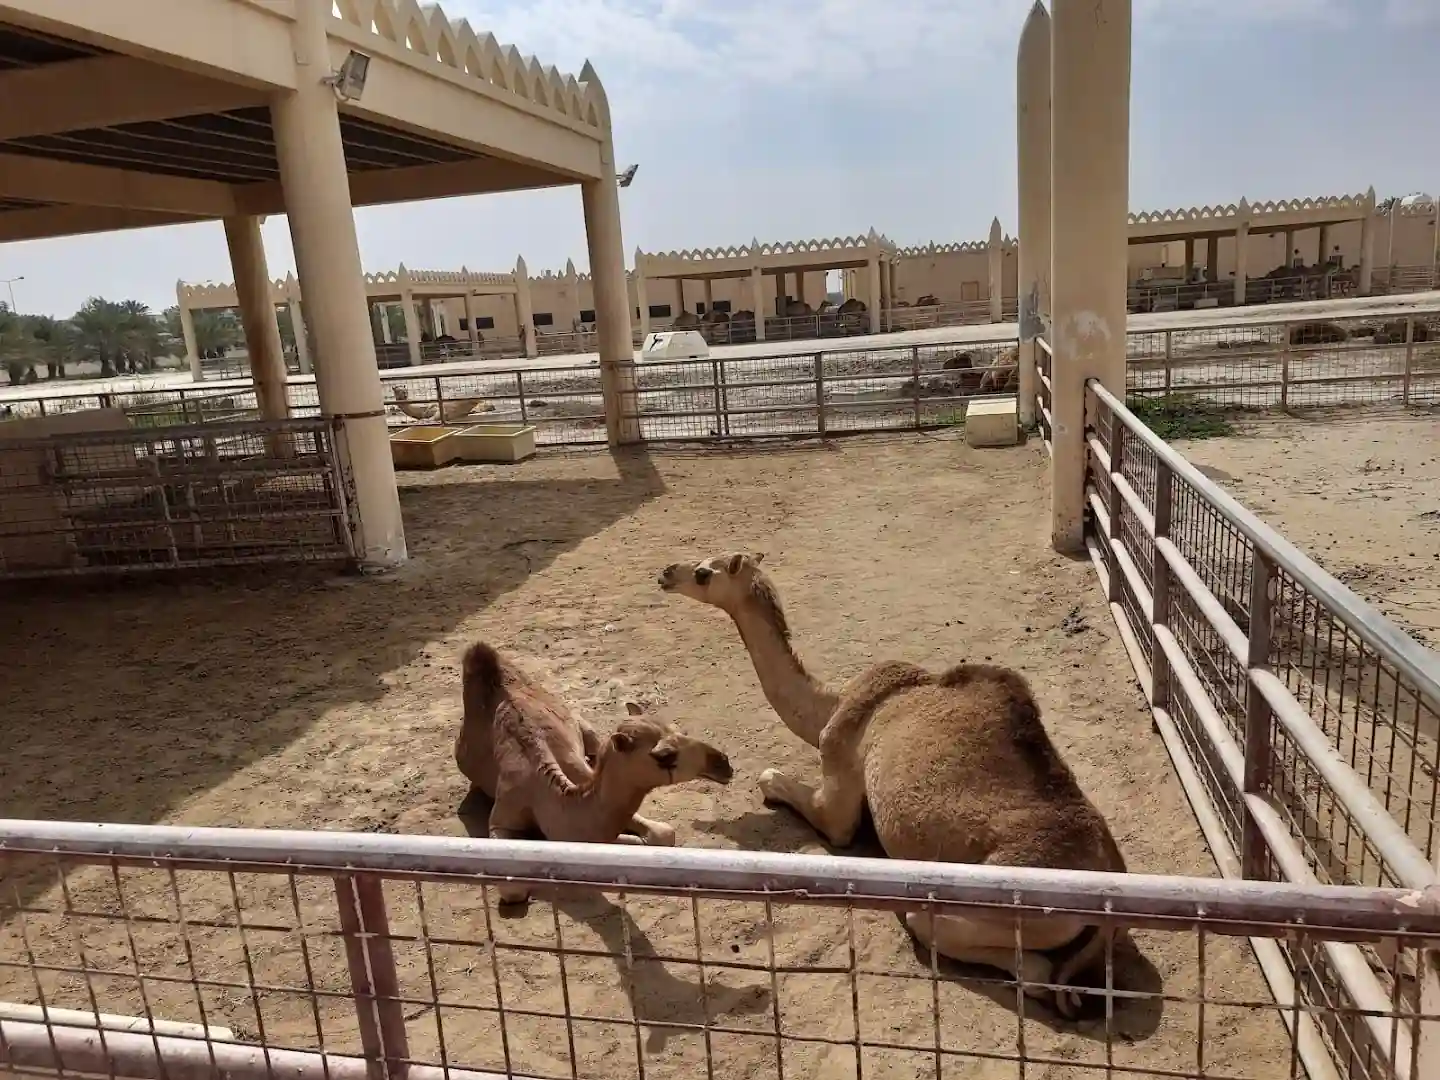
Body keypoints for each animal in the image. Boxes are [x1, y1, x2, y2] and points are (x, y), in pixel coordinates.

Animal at [456, 642, 734, 902]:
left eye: (679, 730)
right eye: (664, 756)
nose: (723, 763)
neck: (543, 794)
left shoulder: (583, 774)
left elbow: (662, 834)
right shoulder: (502, 815)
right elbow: (512, 890)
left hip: (583, 726)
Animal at [658, 553, 1127, 1017]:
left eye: (703, 573)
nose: (665, 573)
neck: (832, 702)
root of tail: (1109, 897)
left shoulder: (838, 773)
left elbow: (783, 787)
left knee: (1010, 960)